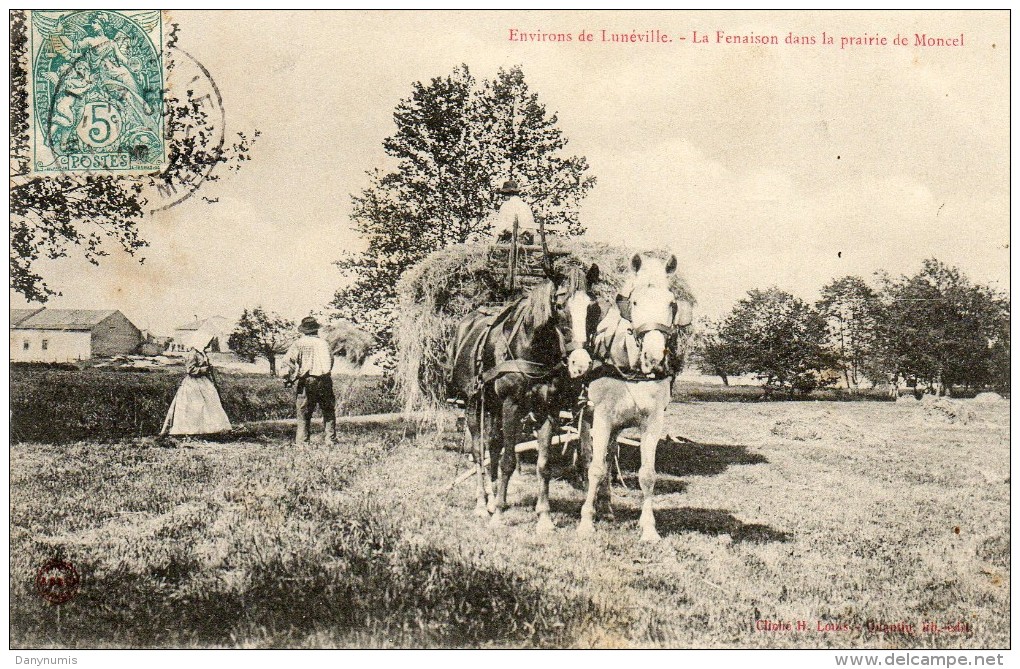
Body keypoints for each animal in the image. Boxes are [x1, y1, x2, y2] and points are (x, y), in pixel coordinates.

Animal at [446, 263, 595, 530]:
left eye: (591, 307)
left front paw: (544, 517)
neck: (532, 348)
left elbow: (543, 464)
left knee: (493, 445)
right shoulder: (511, 405)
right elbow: (508, 461)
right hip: (474, 404)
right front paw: (499, 514)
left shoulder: (549, 409)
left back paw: (493, 498)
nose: (581, 363)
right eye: (560, 306)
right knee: (478, 451)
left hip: (493, 406)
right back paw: (483, 504)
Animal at [575, 253, 693, 542]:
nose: (653, 355)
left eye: (672, 303)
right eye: (635, 301)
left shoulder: (652, 422)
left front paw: (649, 528)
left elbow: (647, 474)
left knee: (609, 458)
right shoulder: (602, 418)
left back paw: (606, 508)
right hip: (588, 417)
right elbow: (595, 469)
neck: (631, 369)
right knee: (590, 458)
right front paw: (586, 522)